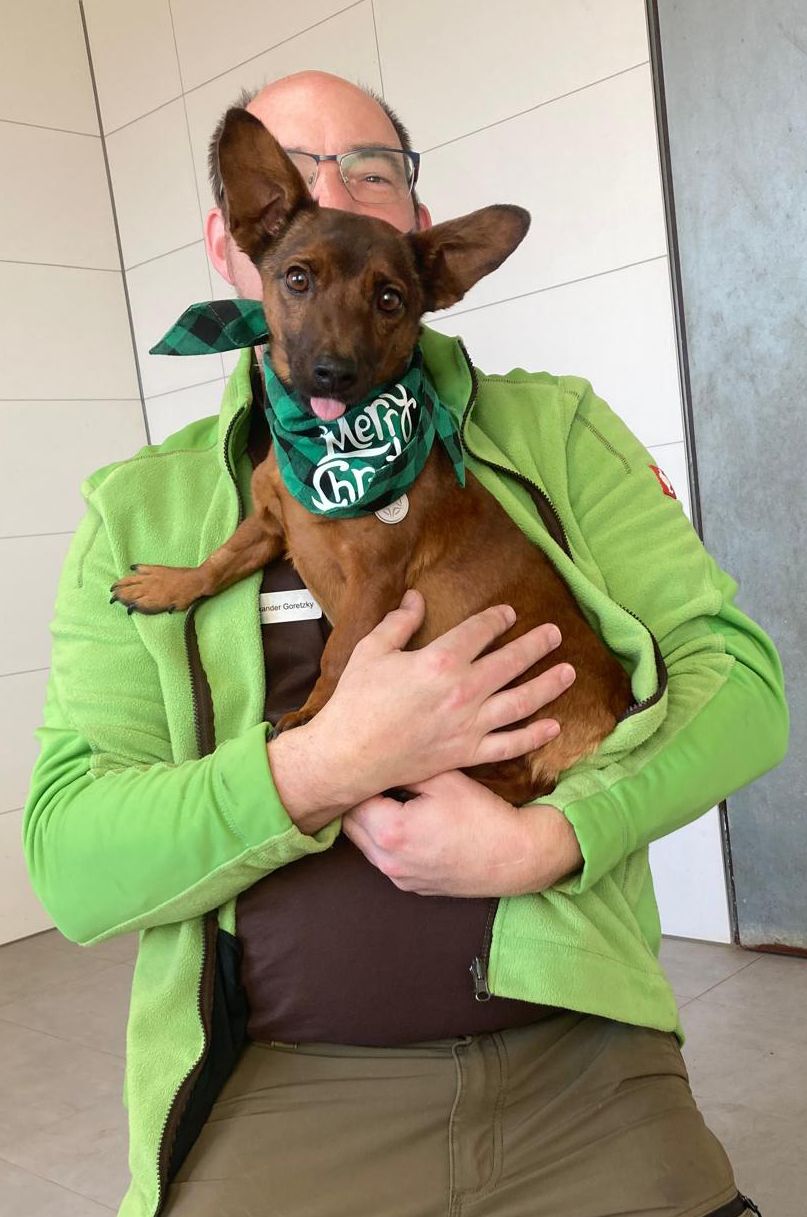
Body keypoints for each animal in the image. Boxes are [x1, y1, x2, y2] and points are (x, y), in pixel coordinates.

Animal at [112, 108, 632, 804]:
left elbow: (341, 655)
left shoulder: (375, 580)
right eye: (297, 278)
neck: (329, 456)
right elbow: (220, 560)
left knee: (517, 779)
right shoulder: (269, 524)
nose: (332, 373)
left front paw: (315, 714)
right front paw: (172, 583)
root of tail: (612, 708)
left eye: (390, 299)